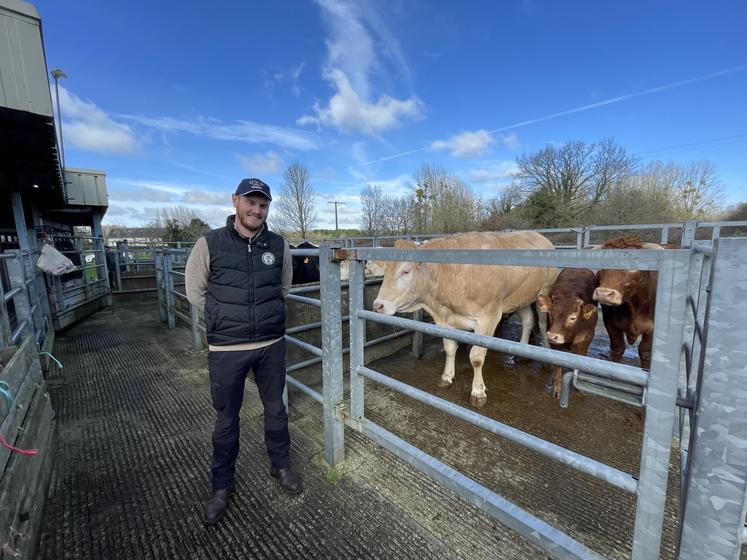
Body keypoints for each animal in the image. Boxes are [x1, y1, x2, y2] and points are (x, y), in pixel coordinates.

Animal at [372, 231, 560, 406]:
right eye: (385, 272)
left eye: (405, 271)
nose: (378, 305)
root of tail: (540, 236)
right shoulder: (445, 320)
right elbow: (449, 348)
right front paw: (447, 377)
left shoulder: (488, 318)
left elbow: (476, 357)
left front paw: (478, 392)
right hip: (520, 299)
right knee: (528, 320)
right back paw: (521, 351)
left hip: (544, 293)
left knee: (542, 325)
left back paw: (547, 357)